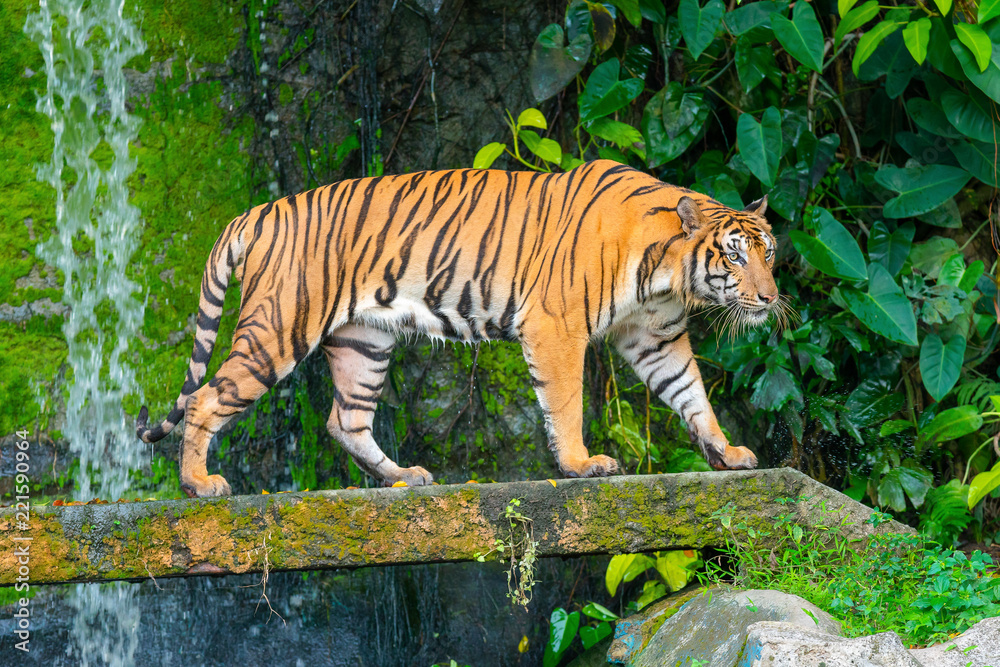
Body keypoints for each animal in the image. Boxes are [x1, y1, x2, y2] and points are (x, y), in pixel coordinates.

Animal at [136, 159, 782, 497]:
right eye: (733, 256)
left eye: (768, 253)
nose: (771, 299)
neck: (667, 275)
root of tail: (259, 209)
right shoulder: (557, 325)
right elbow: (566, 402)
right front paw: (581, 465)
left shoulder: (655, 337)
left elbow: (692, 395)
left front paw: (727, 453)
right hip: (279, 327)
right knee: (206, 398)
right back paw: (199, 484)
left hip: (365, 340)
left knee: (346, 420)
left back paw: (405, 477)